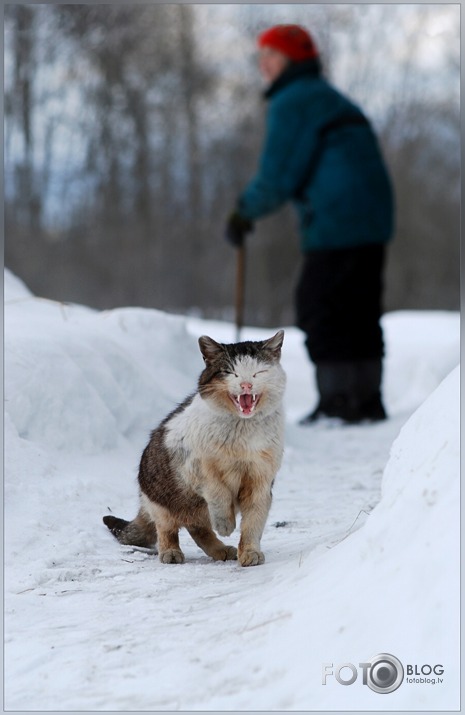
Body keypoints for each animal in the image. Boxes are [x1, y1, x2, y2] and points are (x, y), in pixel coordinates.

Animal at [103, 332, 284, 572]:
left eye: (259, 372)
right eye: (231, 372)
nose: (246, 384)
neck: (242, 434)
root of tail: (143, 500)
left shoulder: (260, 482)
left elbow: (253, 523)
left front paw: (250, 552)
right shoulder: (196, 467)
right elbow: (218, 493)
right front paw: (225, 524)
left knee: (197, 528)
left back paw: (221, 550)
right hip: (162, 501)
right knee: (167, 529)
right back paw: (171, 552)